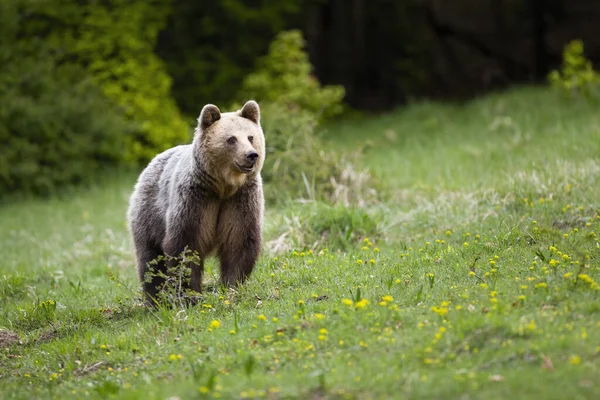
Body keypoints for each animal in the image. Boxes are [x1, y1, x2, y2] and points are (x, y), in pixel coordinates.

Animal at [126, 101, 264, 306]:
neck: (223, 187)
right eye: (231, 139)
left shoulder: (240, 201)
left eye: (251, 137)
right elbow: (186, 245)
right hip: (149, 212)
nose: (251, 155)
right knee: (150, 258)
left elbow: (239, 241)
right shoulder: (195, 199)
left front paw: (232, 286)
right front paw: (190, 295)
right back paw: (155, 300)